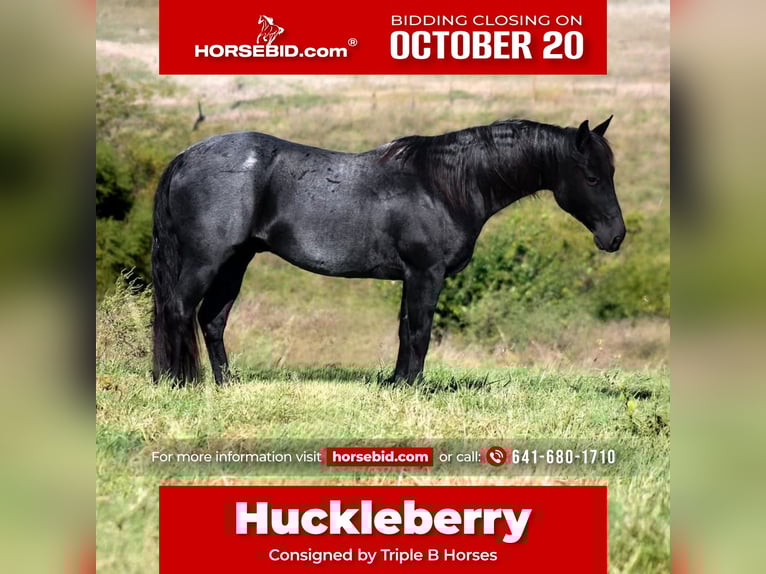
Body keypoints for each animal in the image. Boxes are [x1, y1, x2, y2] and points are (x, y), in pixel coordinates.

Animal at [151, 116, 625, 386]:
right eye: (592, 176)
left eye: (611, 172)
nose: (615, 236)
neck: (442, 186)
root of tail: (185, 156)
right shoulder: (425, 273)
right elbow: (419, 331)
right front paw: (411, 386)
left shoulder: (411, 276)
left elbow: (404, 329)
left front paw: (396, 382)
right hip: (207, 260)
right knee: (178, 310)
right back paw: (179, 382)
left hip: (236, 262)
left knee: (212, 319)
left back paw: (224, 383)